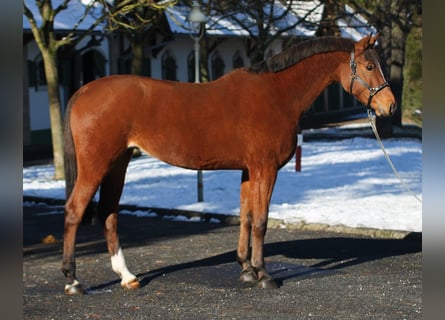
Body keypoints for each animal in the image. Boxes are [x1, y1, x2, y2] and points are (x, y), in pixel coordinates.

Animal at [60, 33, 394, 294]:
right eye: (369, 66)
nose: (389, 106)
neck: (277, 94)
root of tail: (84, 90)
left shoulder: (248, 170)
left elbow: (245, 217)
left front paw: (246, 269)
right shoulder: (265, 169)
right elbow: (260, 221)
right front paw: (264, 275)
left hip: (118, 163)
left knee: (108, 213)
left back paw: (127, 276)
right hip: (96, 166)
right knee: (75, 211)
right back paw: (73, 281)